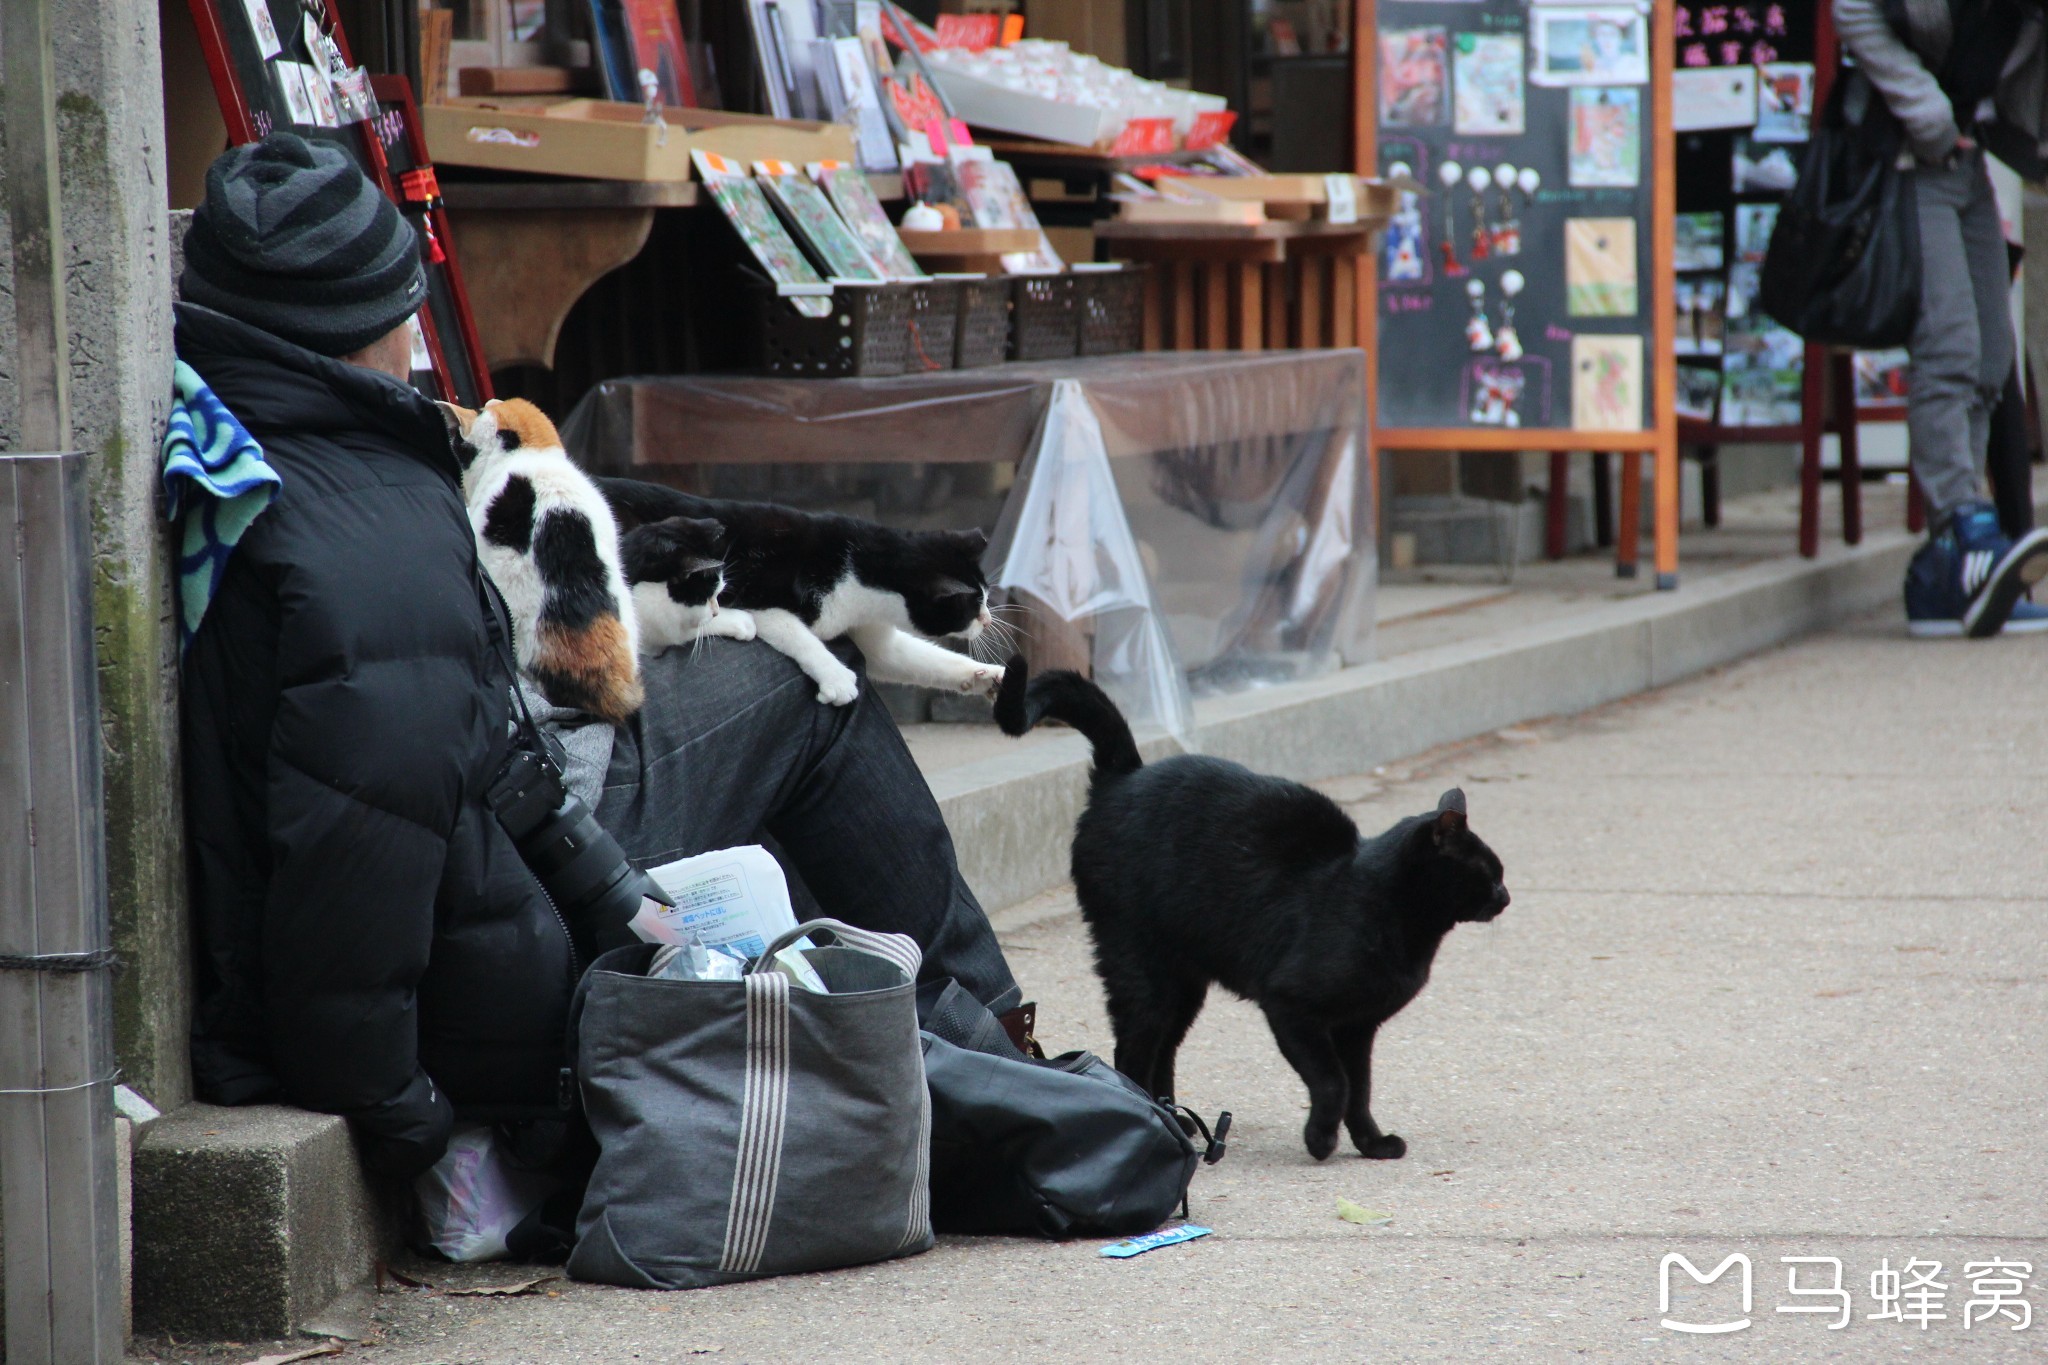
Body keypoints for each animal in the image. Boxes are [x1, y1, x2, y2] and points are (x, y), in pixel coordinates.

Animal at [598, 474, 1003, 703]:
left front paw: (987, 675)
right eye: (973, 606)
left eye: (985, 598)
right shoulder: (759, 592)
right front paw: (837, 678)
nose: (987, 619)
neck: (855, 565)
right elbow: (796, 632)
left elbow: (908, 658)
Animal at [999, 654, 1515, 1162]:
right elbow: (1333, 1081)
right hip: (1139, 967)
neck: (1387, 912)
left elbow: (1361, 1089)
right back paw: (1158, 1119)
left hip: (1183, 984)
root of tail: (1125, 776)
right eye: (1490, 872)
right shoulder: (1290, 1005)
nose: (1506, 896)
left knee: (1163, 1049)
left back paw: (1178, 1121)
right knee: (1131, 1050)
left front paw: (1371, 1143)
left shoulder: (1357, 1027)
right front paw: (1320, 1141)